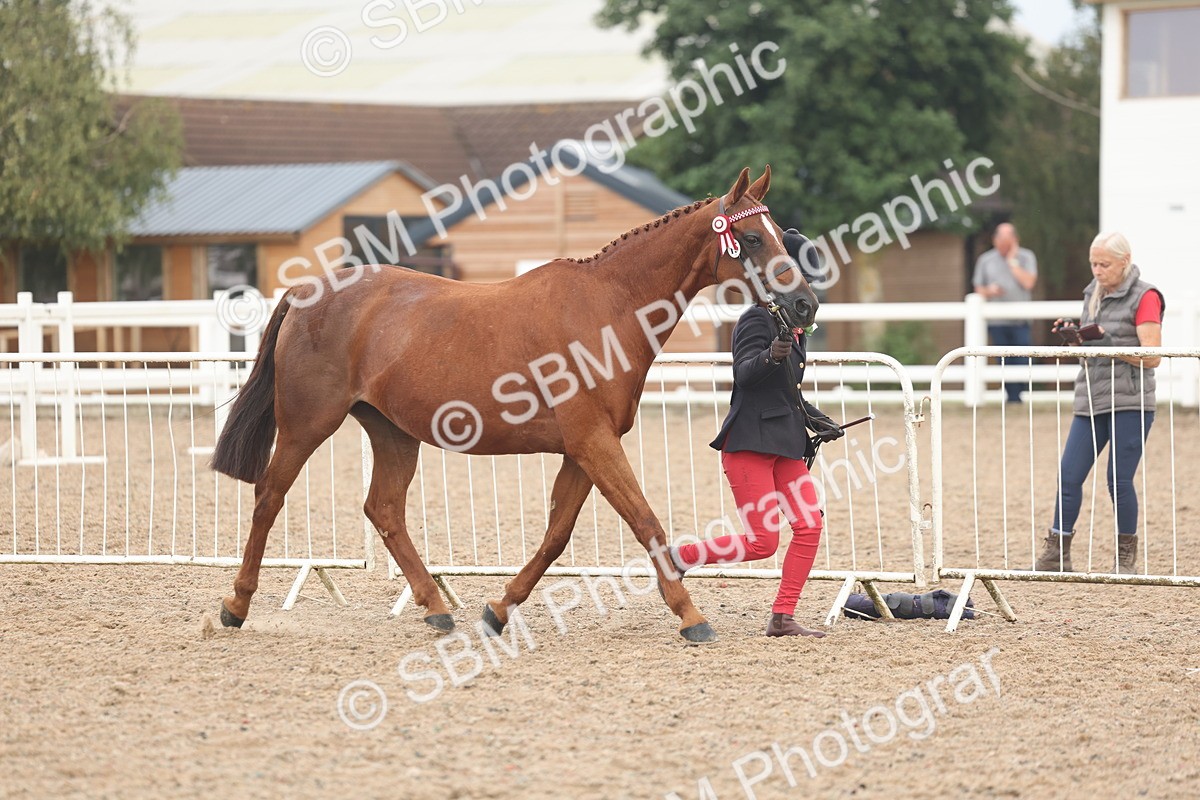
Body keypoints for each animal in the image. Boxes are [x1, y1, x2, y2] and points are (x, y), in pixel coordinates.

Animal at [210, 166, 819, 643]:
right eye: (753, 238)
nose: (804, 304)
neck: (610, 306)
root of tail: (306, 292)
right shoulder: (593, 444)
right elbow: (644, 519)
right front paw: (691, 615)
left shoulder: (582, 449)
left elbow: (556, 535)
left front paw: (498, 610)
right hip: (307, 424)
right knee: (269, 496)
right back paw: (235, 605)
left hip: (392, 431)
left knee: (383, 509)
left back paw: (436, 609)